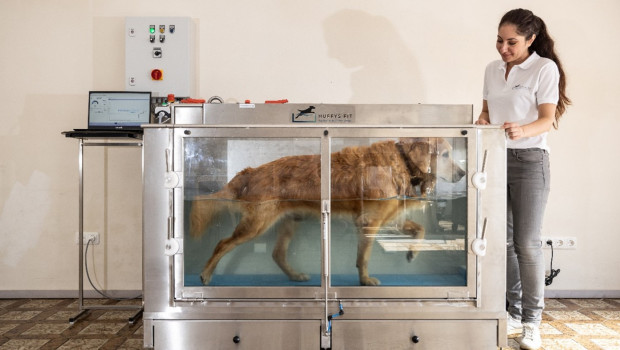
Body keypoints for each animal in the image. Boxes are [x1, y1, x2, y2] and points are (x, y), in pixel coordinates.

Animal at [189, 137, 464, 284]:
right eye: (445, 154)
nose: (462, 173)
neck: (402, 162)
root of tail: (252, 170)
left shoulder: (389, 219)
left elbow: (421, 229)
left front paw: (412, 253)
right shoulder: (370, 221)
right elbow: (364, 257)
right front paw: (365, 280)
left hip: (289, 221)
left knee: (277, 254)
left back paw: (295, 275)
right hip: (256, 224)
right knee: (222, 243)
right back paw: (205, 274)